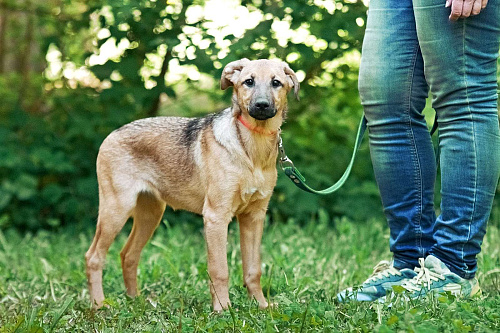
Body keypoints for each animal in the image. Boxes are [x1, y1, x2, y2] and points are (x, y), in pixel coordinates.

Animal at [84, 58, 298, 310]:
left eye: (276, 83)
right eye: (248, 82)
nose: (262, 105)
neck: (251, 149)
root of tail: (112, 134)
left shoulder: (254, 217)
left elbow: (253, 270)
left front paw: (261, 306)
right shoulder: (216, 216)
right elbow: (219, 270)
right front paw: (222, 309)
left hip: (150, 213)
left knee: (128, 255)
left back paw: (135, 301)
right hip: (116, 209)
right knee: (94, 257)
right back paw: (99, 305)